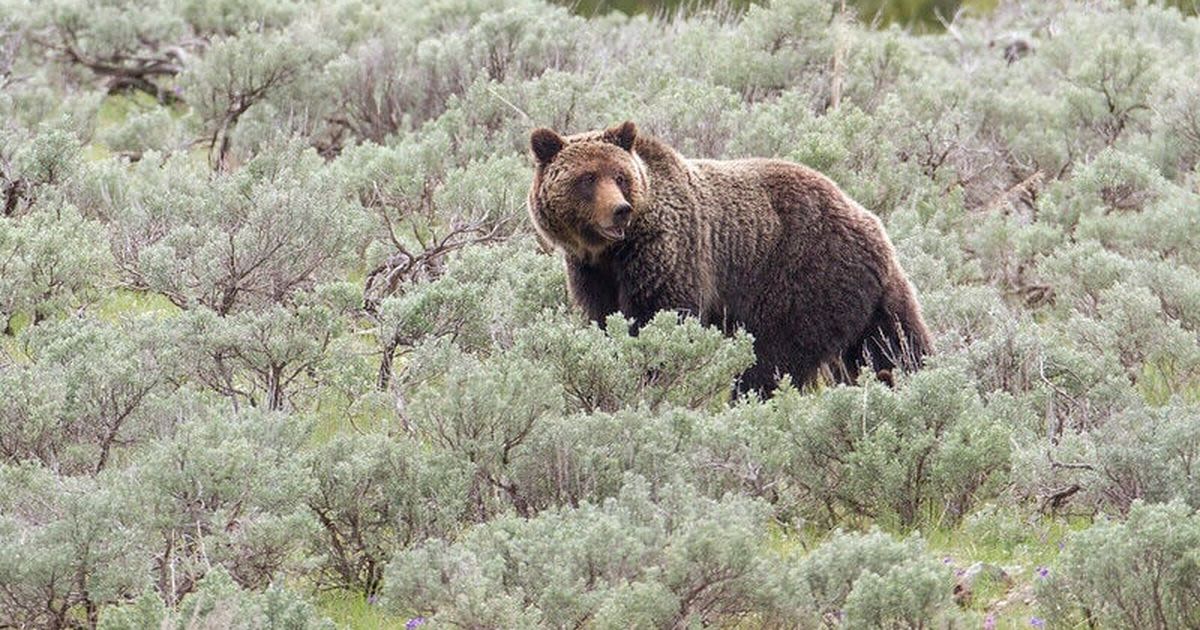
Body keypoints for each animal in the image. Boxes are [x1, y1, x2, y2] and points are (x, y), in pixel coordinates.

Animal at [528, 120, 936, 393]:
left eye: (620, 176)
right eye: (587, 178)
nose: (620, 210)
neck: (611, 251)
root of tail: (872, 223)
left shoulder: (669, 253)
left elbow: (660, 317)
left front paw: (654, 374)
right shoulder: (592, 272)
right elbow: (605, 319)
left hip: (803, 277)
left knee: (774, 356)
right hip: (868, 298)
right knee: (895, 344)